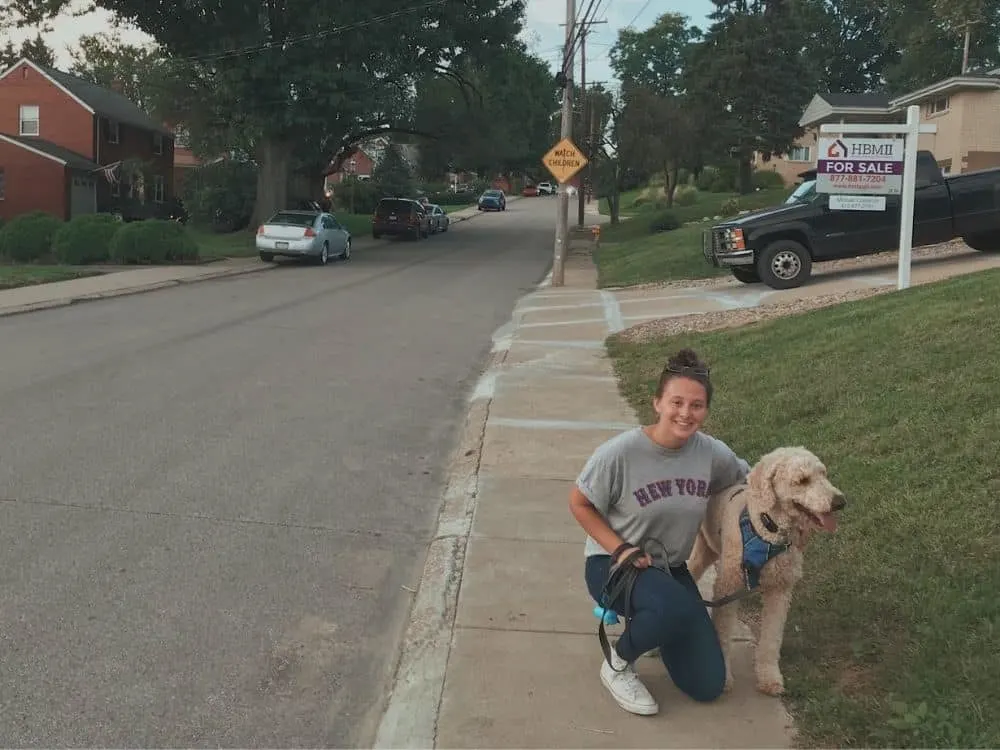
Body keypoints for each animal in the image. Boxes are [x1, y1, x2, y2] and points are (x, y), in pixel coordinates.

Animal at [688, 446, 844, 700]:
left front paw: (770, 678)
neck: (767, 528)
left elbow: (771, 638)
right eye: (802, 480)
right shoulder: (728, 585)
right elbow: (723, 632)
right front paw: (725, 678)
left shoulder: (780, 590)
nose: (840, 502)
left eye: (823, 474)